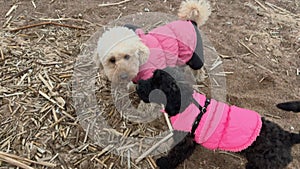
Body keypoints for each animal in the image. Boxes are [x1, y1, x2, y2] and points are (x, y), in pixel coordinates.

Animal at [137, 67, 300, 169]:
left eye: (156, 85)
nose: (138, 85)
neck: (187, 102)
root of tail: (287, 136)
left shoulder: (184, 141)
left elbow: (175, 155)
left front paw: (163, 163)